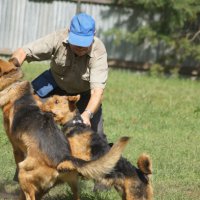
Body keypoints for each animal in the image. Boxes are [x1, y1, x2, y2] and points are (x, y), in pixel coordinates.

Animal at [0, 59, 130, 200]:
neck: (14, 87)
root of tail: (64, 159)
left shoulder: (16, 148)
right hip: (72, 183)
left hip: (24, 172)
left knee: (29, 194)